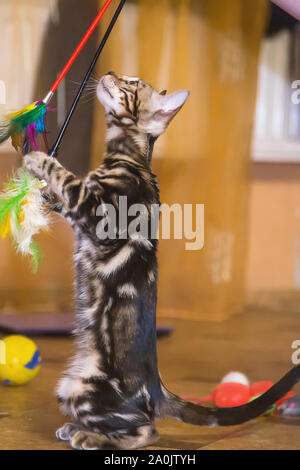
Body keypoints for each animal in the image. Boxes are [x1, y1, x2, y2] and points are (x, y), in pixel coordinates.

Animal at [23, 71, 300, 450]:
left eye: (132, 83)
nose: (109, 73)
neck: (128, 158)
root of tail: (156, 388)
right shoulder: (81, 217)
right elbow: (65, 195)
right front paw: (40, 192)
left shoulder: (97, 214)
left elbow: (67, 178)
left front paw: (38, 159)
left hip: (78, 388)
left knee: (145, 431)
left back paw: (88, 435)